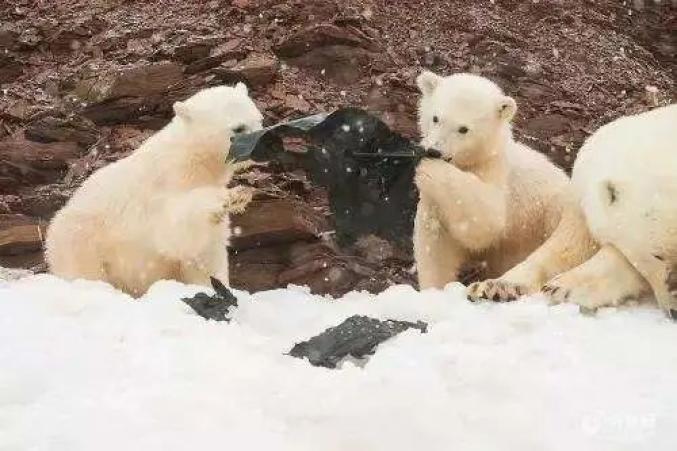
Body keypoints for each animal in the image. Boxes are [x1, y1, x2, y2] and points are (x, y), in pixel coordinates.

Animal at [45, 83, 262, 298]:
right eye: (238, 128)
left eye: (259, 120)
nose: (262, 144)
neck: (192, 159)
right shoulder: (165, 187)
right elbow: (178, 229)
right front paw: (233, 196)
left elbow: (206, 250)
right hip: (82, 241)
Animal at [412, 72, 588, 294]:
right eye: (436, 118)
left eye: (463, 129)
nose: (435, 151)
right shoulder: (434, 203)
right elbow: (435, 244)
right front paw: (433, 289)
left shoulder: (497, 175)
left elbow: (487, 219)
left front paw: (430, 170)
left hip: (552, 215)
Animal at [478, 104, 672, 316]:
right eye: (657, 255)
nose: (675, 311)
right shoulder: (583, 194)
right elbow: (569, 246)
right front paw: (498, 287)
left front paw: (563, 288)